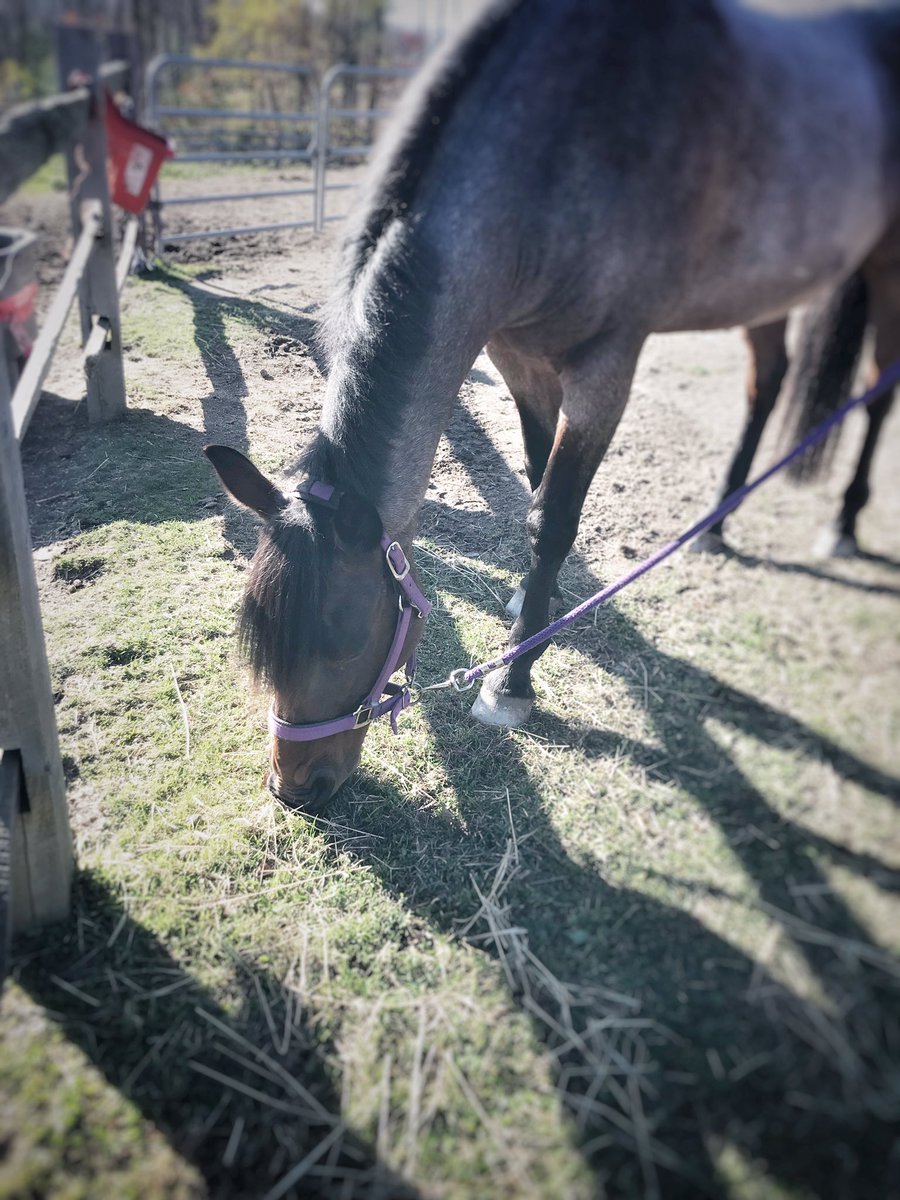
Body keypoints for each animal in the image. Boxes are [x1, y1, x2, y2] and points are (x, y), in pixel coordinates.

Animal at [205, 0, 900, 809]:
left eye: (346, 639)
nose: (294, 787)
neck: (554, 151)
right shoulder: (518, 355)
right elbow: (537, 486)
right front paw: (528, 612)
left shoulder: (604, 372)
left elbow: (554, 517)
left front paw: (511, 680)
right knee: (769, 382)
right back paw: (719, 525)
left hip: (887, 268)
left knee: (878, 394)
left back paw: (844, 523)